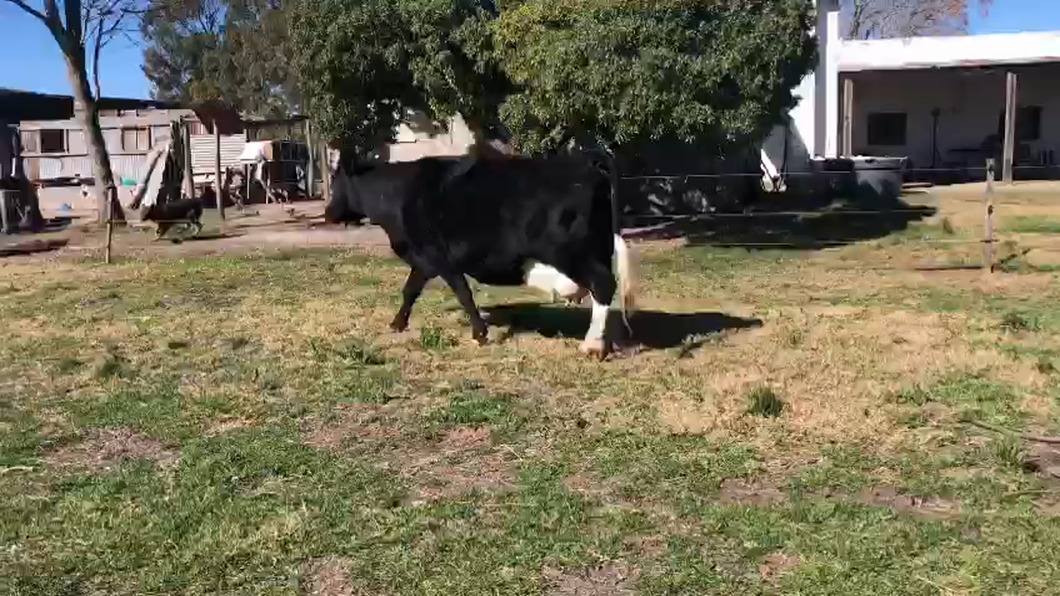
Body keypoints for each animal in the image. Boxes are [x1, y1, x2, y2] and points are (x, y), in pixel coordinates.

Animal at [326, 153, 631, 356]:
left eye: (335, 182)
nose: (328, 213)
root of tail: (590, 168)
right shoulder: (424, 260)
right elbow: (410, 290)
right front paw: (397, 323)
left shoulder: (441, 258)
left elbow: (463, 293)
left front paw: (480, 334)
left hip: (574, 254)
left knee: (603, 285)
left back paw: (592, 346)